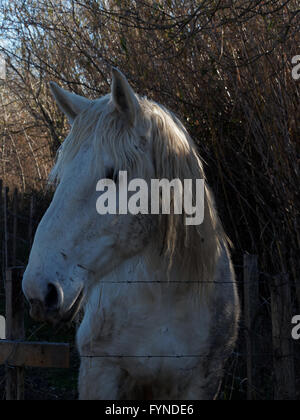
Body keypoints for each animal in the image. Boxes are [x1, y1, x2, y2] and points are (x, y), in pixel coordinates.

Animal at [22, 69, 240, 400]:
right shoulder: (100, 372)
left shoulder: (203, 381)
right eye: (61, 176)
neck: (166, 297)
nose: (39, 290)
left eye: (113, 174)